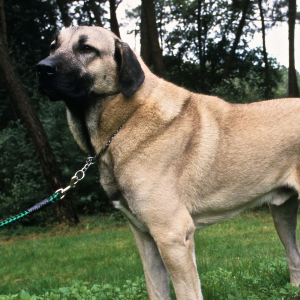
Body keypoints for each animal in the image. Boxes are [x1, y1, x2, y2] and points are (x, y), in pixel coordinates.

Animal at [36, 26, 300, 300]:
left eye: (87, 48)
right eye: (53, 46)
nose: (41, 68)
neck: (126, 120)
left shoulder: (172, 236)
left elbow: (187, 292)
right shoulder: (146, 238)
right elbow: (156, 289)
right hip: (282, 214)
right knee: (295, 258)